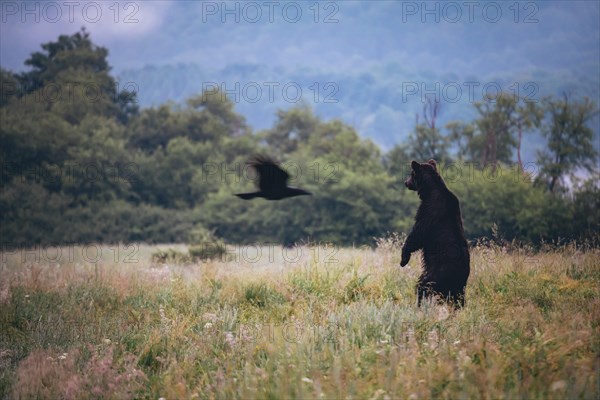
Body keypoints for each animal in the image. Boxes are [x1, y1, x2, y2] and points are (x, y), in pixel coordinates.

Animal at [400, 159, 472, 306]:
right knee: (458, 299)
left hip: (438, 273)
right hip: (458, 288)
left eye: (411, 173)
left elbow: (417, 234)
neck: (429, 192)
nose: (405, 182)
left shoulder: (430, 212)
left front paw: (403, 259)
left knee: (423, 286)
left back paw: (420, 304)